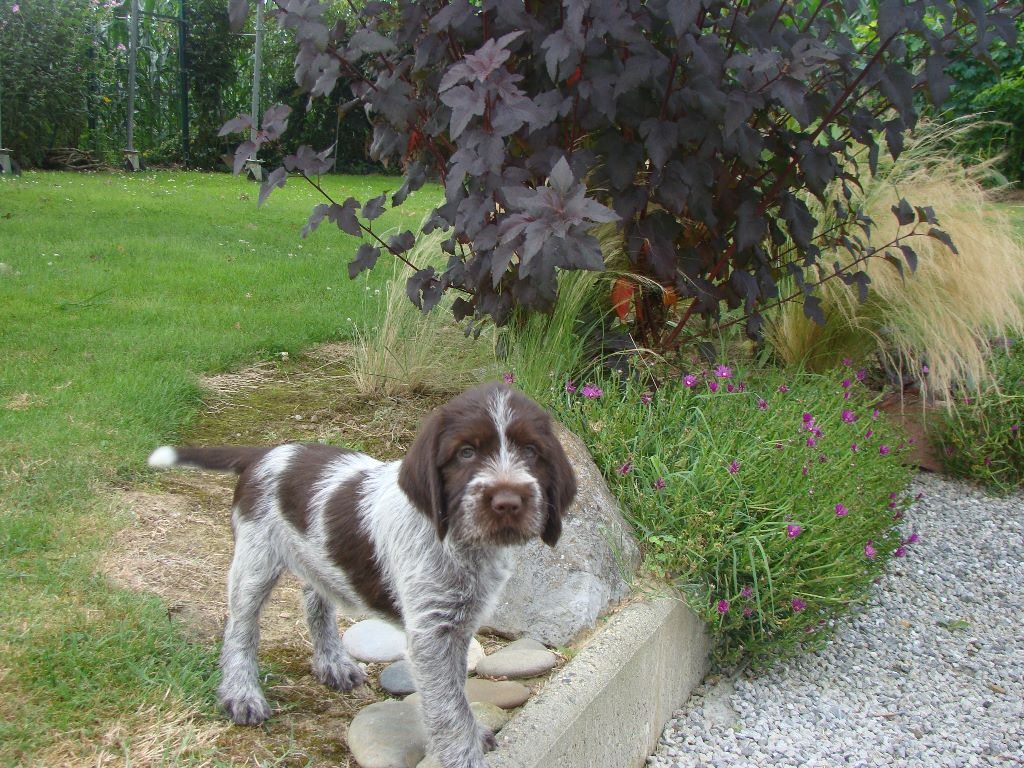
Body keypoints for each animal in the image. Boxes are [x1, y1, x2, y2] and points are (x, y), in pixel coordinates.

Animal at [147, 381, 577, 768]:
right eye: (466, 452)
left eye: (532, 451)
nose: (507, 502)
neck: (463, 544)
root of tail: (266, 453)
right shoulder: (432, 632)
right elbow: (448, 709)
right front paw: (463, 755)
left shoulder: (458, 624)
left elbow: (454, 693)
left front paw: (471, 734)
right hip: (255, 560)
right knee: (241, 628)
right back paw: (241, 694)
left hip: (317, 556)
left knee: (315, 599)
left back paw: (332, 662)